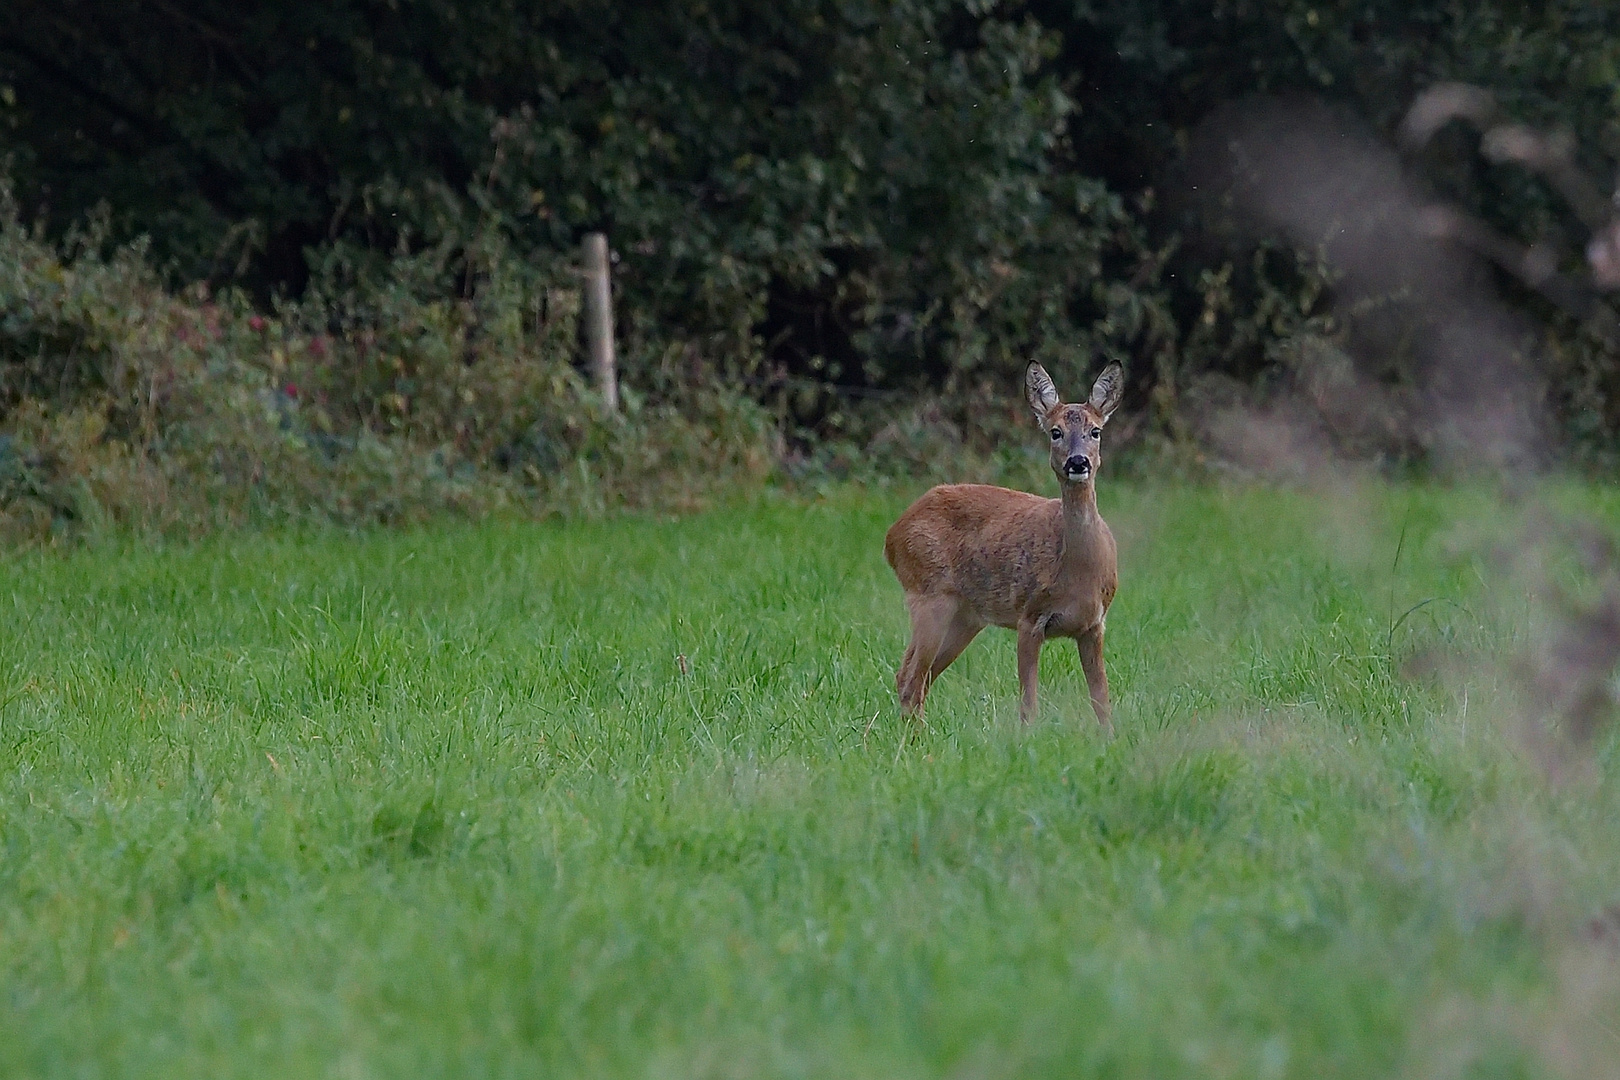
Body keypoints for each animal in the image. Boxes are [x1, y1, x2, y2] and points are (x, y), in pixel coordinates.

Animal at [887, 365, 1127, 735]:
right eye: (1055, 432)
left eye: (1095, 431)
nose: (1078, 462)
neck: (1078, 569)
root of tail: (892, 535)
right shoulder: (1029, 617)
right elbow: (1029, 701)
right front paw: (1028, 739)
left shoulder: (1094, 624)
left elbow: (1101, 699)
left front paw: (1110, 740)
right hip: (928, 595)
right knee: (912, 677)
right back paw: (916, 739)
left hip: (966, 617)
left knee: (915, 675)